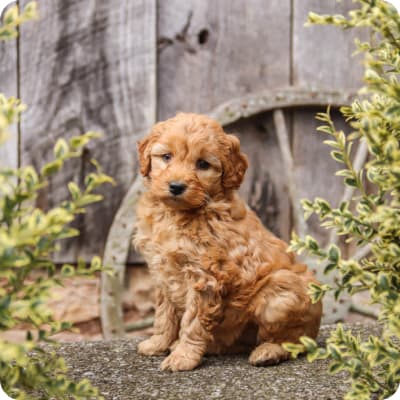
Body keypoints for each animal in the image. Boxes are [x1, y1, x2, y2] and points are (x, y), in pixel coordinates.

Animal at [134, 111, 322, 372]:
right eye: (166, 157)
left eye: (203, 164)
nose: (176, 186)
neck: (178, 214)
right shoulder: (163, 273)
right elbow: (164, 314)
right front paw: (157, 343)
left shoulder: (204, 277)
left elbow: (192, 322)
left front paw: (183, 357)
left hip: (280, 293)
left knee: (293, 341)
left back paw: (268, 351)